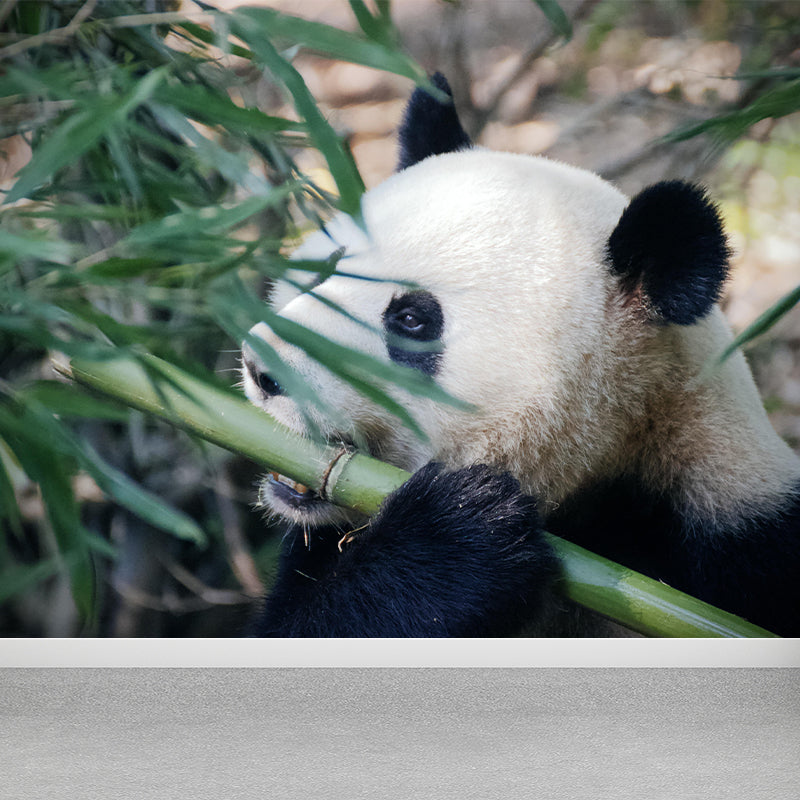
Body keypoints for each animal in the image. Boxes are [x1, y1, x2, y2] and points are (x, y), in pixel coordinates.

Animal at [241, 74, 800, 637]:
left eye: (412, 320)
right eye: (327, 268)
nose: (263, 368)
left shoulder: (740, 539)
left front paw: (458, 529)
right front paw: (457, 535)